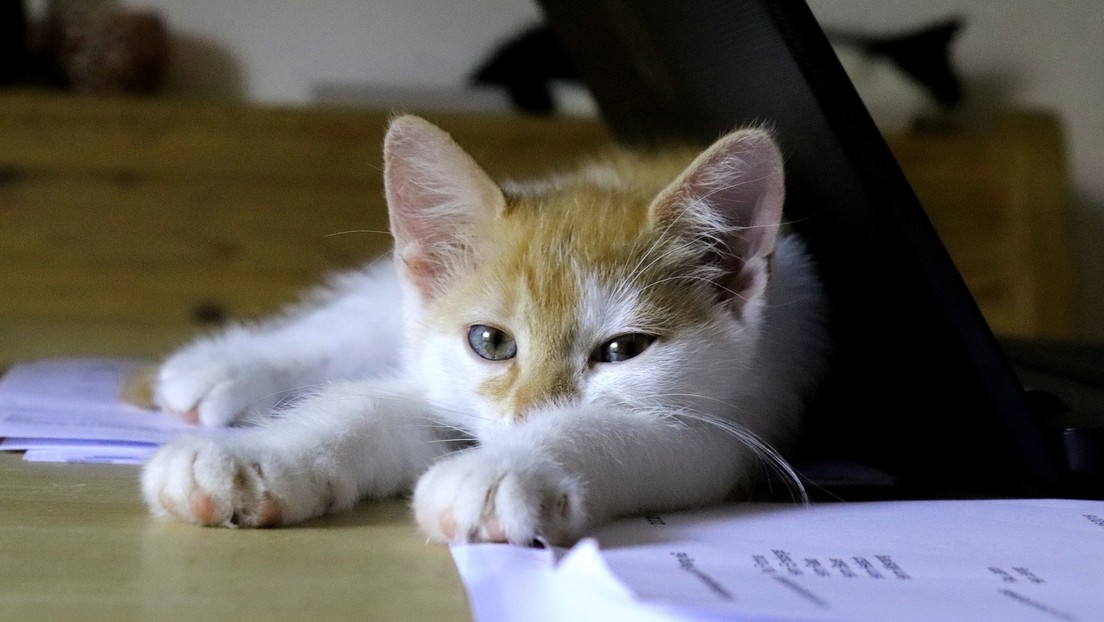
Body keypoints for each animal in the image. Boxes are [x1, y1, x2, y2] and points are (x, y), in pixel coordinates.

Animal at [140, 115, 830, 545]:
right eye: (491, 342)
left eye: (623, 350)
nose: (524, 418)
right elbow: (364, 404)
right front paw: (254, 456)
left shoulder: (729, 425)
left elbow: (615, 429)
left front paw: (504, 469)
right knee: (360, 320)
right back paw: (227, 367)